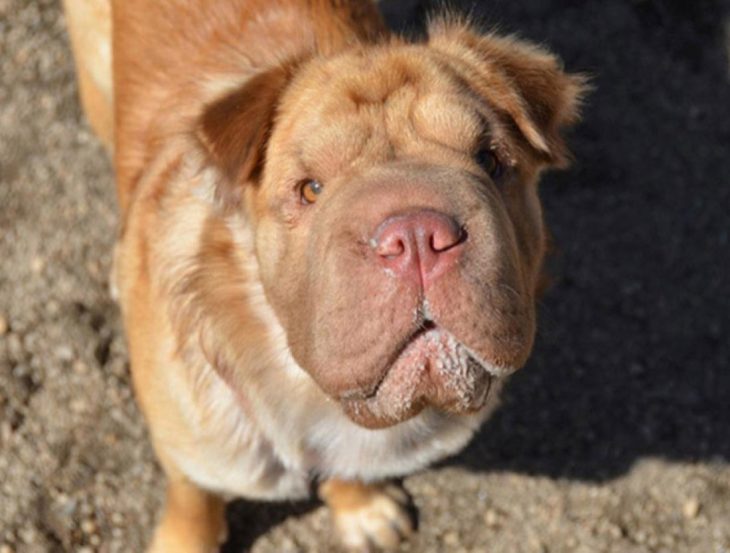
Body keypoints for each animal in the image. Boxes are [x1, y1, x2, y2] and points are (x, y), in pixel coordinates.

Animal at [64, 0, 584, 548]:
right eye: (310, 189)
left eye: (490, 159)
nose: (417, 234)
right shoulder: (190, 451)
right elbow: (193, 502)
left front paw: (363, 510)